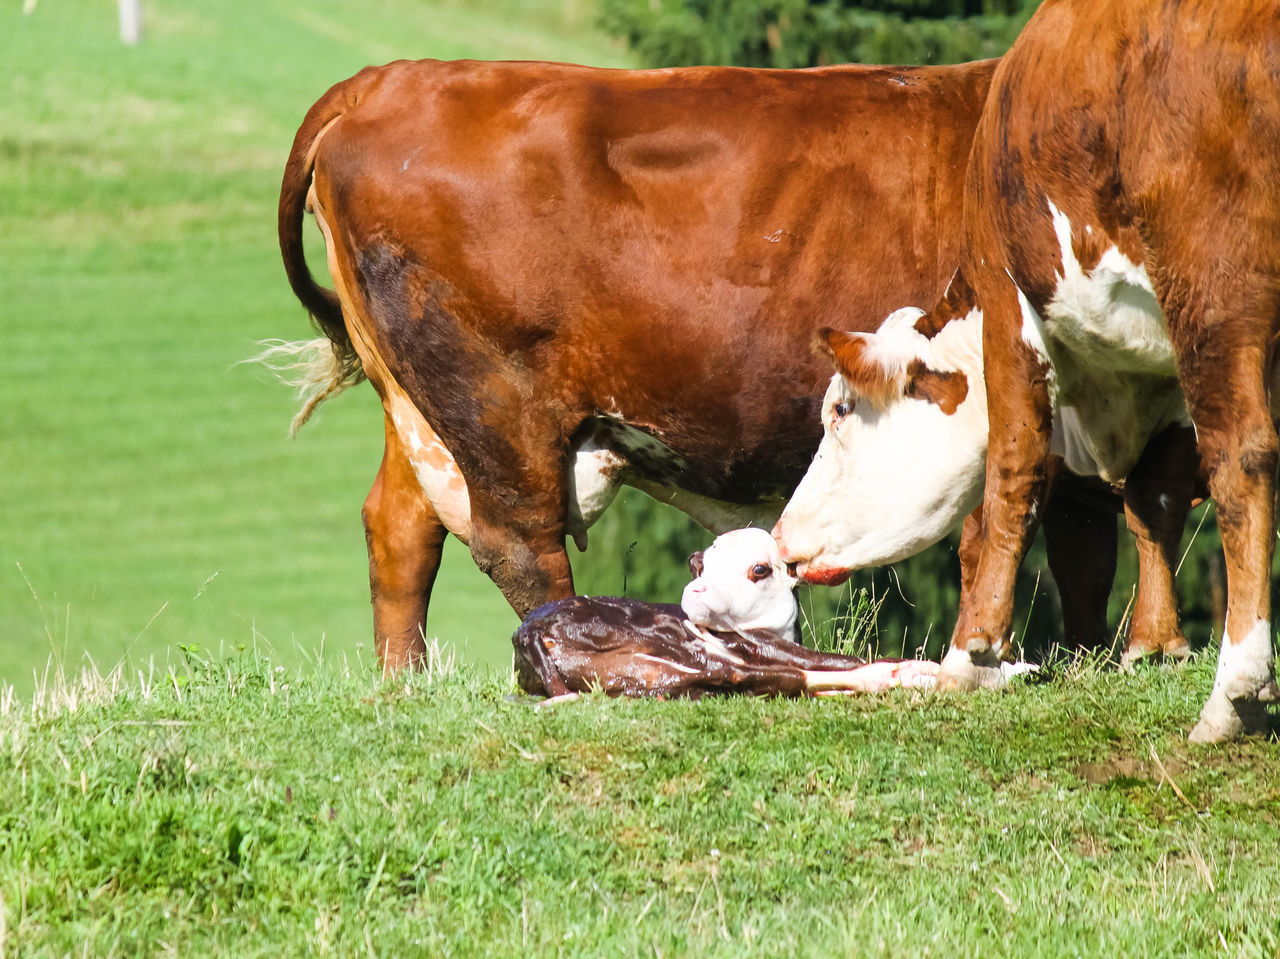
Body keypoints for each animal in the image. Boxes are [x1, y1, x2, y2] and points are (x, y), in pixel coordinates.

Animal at [277, 56, 1172, 670]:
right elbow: (1011, 525)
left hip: (423, 410)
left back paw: (403, 684)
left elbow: (1110, 523)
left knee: (400, 526)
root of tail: (399, 76)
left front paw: (1103, 655)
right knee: (518, 543)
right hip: (497, 404)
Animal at [509, 527, 942, 701]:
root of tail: (528, 631)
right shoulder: (759, 647)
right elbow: (839, 659)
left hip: (643, 671)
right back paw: (907, 675)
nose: (697, 589)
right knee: (769, 677)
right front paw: (908, 667)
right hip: (679, 647)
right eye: (701, 566)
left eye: (759, 569)